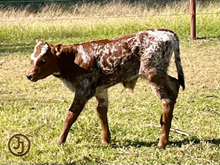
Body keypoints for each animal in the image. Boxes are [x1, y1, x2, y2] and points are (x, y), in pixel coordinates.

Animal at [26, 29, 185, 149]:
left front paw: (60, 141)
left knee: (166, 100)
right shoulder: (100, 90)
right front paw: (106, 140)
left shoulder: (84, 89)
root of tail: (165, 33)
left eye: (43, 60)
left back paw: (162, 142)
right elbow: (101, 111)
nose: (29, 75)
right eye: (31, 58)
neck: (73, 58)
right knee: (175, 83)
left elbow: (71, 115)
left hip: (153, 74)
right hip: (160, 74)